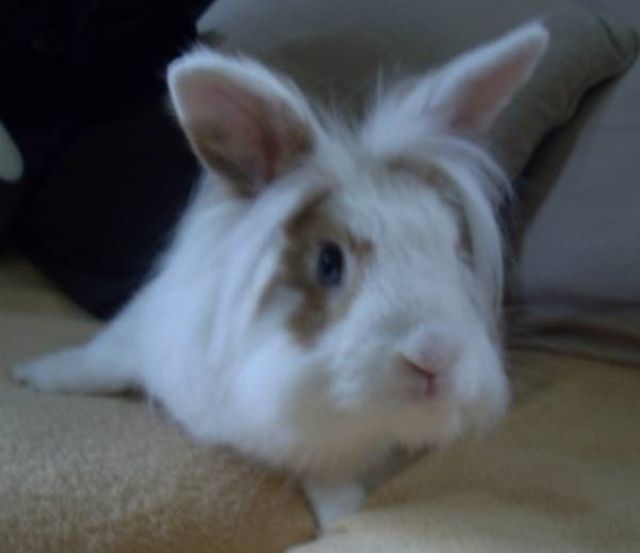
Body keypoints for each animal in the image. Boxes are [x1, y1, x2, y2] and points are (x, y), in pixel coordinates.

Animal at [13, 22, 548, 530]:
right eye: (329, 261)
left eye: (455, 246)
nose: (435, 357)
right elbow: (99, 362)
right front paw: (33, 375)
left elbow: (332, 474)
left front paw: (348, 516)